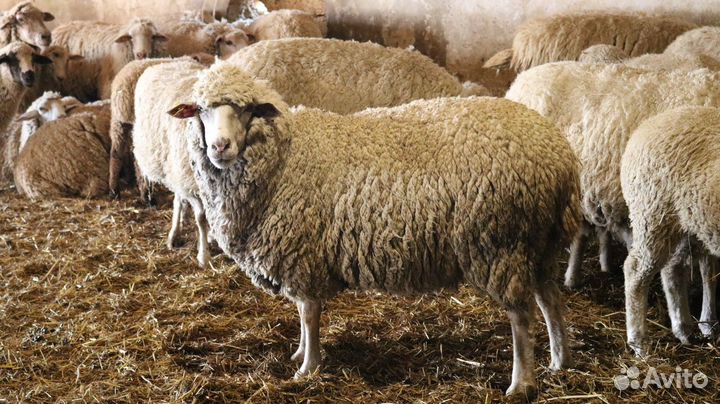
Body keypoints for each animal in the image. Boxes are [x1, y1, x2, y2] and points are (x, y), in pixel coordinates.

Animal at [132, 60, 211, 266]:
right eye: (201, 110)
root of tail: (172, 60)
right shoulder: (190, 185)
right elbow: (201, 218)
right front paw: (204, 256)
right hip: (177, 171)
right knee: (178, 200)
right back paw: (174, 235)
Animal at [168, 62, 581, 397]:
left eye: (247, 110)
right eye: (201, 111)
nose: (220, 146)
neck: (286, 156)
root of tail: (559, 154)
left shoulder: (303, 252)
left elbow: (309, 313)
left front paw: (308, 367)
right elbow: (302, 313)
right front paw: (300, 353)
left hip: (502, 243)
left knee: (521, 315)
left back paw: (521, 383)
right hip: (539, 243)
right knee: (550, 299)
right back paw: (558, 361)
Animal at [621, 106, 720, 354]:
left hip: (685, 222)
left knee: (673, 268)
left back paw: (684, 328)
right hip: (653, 214)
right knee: (636, 270)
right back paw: (639, 342)